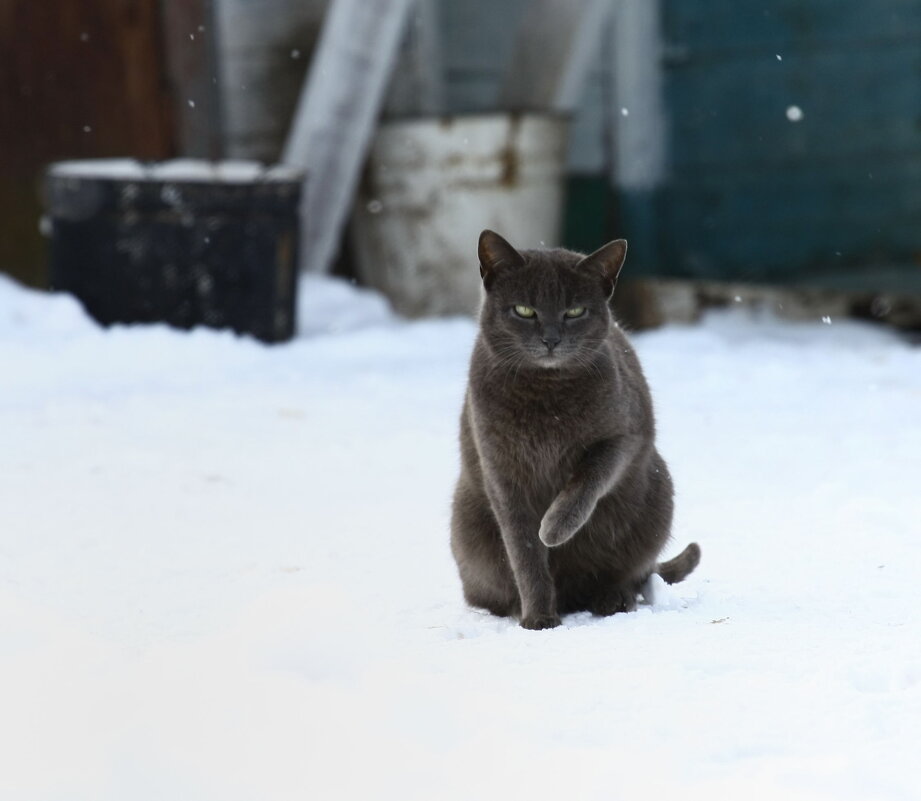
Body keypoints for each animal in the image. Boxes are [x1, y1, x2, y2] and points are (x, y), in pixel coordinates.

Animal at [452, 228, 696, 628]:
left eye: (575, 312)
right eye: (524, 310)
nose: (551, 339)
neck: (546, 394)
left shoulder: (623, 437)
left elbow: (589, 480)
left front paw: (553, 528)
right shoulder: (500, 469)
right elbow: (524, 550)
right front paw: (538, 618)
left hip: (657, 493)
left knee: (635, 574)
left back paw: (613, 598)